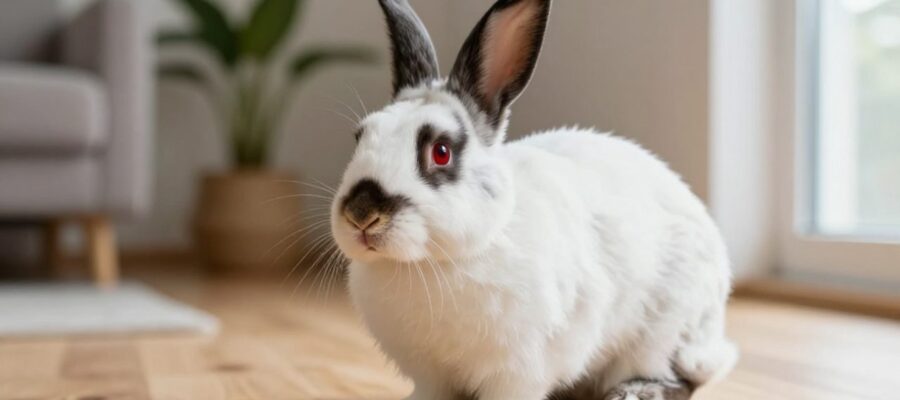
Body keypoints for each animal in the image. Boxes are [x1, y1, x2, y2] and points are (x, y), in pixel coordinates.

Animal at [328, 0, 738, 399]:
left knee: (681, 377)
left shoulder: (518, 370)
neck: (432, 263)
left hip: (661, 334)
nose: (362, 213)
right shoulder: (430, 376)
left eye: (441, 152)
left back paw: (632, 392)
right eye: (359, 137)